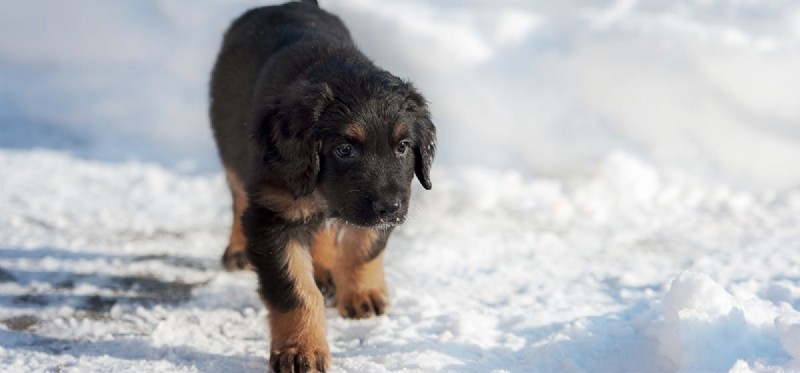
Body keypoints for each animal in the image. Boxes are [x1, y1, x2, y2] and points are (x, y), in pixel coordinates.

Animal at [211, 1, 438, 370]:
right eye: (344, 150)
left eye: (403, 146)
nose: (389, 207)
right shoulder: (274, 214)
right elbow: (295, 290)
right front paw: (300, 350)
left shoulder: (392, 197)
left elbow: (363, 245)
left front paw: (360, 293)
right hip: (230, 146)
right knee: (238, 197)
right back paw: (237, 251)